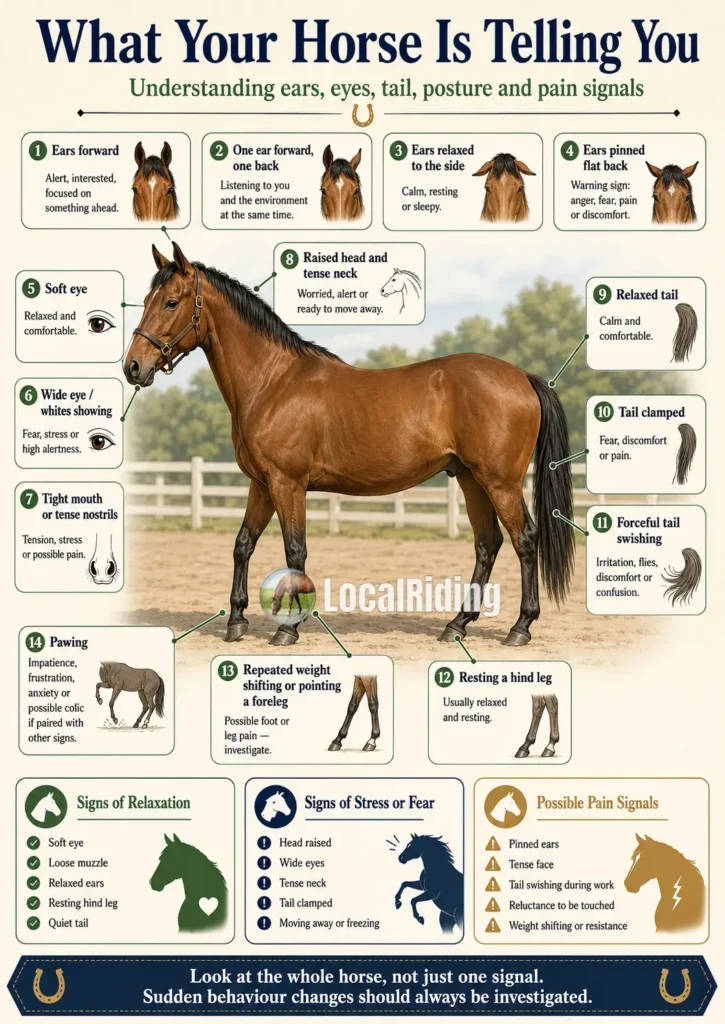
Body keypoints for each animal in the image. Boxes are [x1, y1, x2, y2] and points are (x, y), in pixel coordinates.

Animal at [123, 243, 575, 649]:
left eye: (171, 302)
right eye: (145, 300)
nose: (133, 367)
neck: (273, 381)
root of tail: (522, 376)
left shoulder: (287, 483)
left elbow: (294, 550)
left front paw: (288, 629)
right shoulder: (261, 484)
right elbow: (243, 544)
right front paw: (236, 621)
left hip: (499, 482)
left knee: (524, 540)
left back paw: (520, 627)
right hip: (470, 479)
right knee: (487, 544)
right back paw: (457, 624)